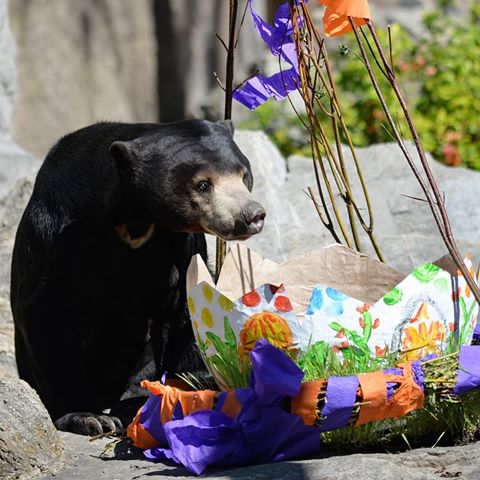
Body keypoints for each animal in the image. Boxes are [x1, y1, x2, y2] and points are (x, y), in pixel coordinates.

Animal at [10, 119, 266, 435]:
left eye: (244, 175)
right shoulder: (56, 235)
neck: (134, 219)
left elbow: (171, 313)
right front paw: (88, 416)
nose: (252, 215)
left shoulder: (177, 248)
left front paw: (135, 404)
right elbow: (47, 314)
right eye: (203, 184)